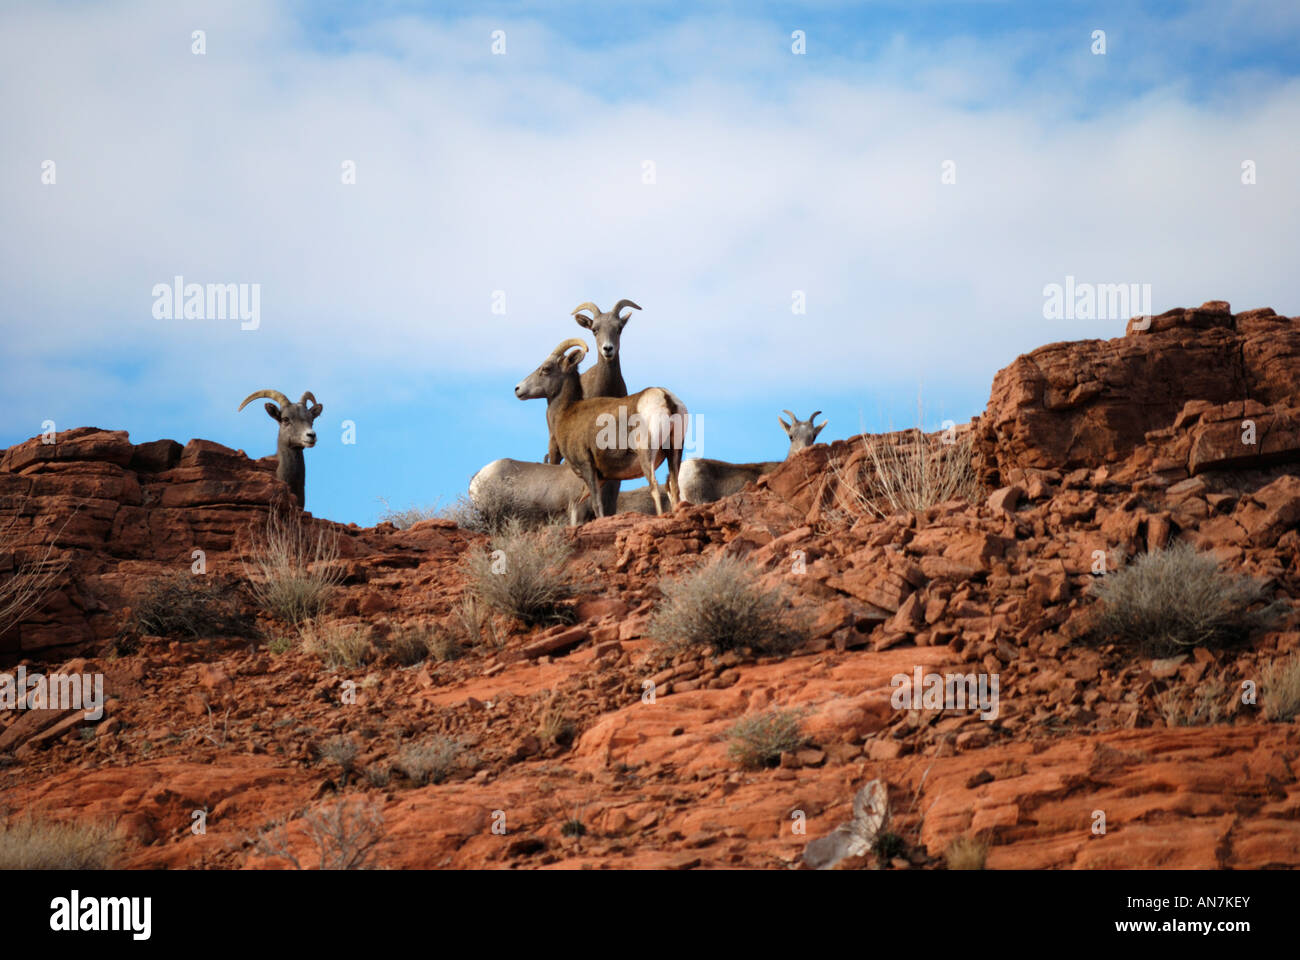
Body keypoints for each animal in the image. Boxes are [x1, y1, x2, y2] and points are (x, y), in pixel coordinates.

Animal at [514, 335, 691, 515]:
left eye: (546, 369)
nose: (518, 389)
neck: (566, 413)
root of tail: (665, 398)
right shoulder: (601, 478)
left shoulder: (587, 466)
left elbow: (596, 504)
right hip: (674, 451)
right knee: (674, 488)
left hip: (646, 453)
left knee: (654, 486)